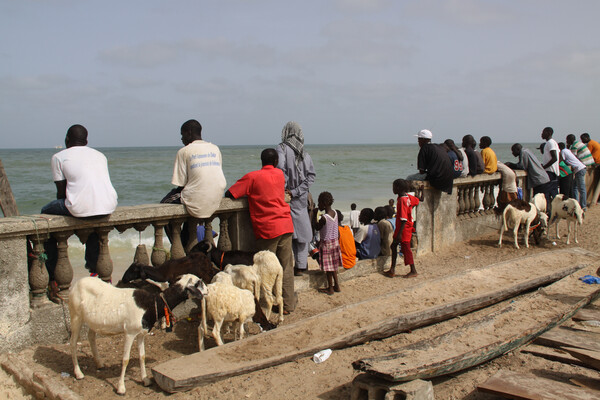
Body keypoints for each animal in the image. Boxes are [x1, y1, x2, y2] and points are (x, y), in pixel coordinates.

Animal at [69, 274, 206, 396]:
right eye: (198, 283)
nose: (207, 291)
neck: (150, 304)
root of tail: (77, 283)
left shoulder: (141, 334)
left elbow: (142, 356)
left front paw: (145, 380)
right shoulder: (130, 333)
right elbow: (125, 359)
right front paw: (121, 388)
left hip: (93, 321)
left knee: (91, 337)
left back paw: (99, 363)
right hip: (76, 316)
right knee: (73, 343)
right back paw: (79, 373)